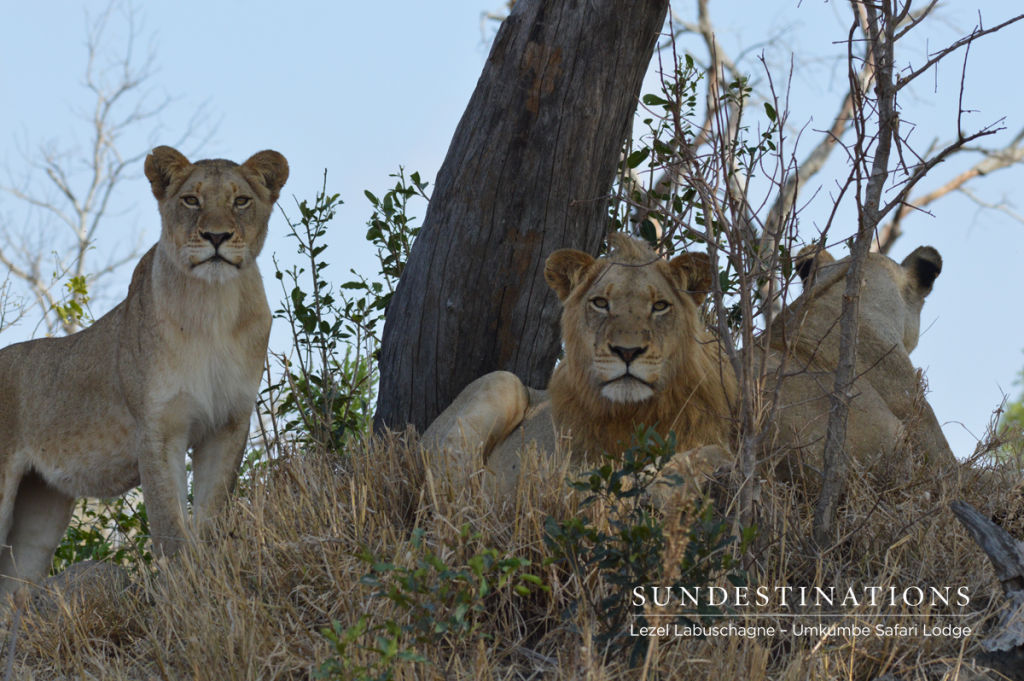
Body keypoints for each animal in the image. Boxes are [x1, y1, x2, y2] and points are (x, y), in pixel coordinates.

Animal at [0, 146, 286, 593]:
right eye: (191, 200)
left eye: (241, 201)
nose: (216, 237)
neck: (214, 310)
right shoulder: (157, 428)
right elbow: (169, 522)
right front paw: (184, 589)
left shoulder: (228, 423)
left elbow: (211, 514)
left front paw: (208, 577)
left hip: (38, 510)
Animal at [421, 235, 737, 499]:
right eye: (600, 303)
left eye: (660, 306)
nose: (627, 351)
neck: (635, 414)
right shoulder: (572, 466)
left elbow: (718, 454)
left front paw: (666, 478)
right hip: (502, 383)